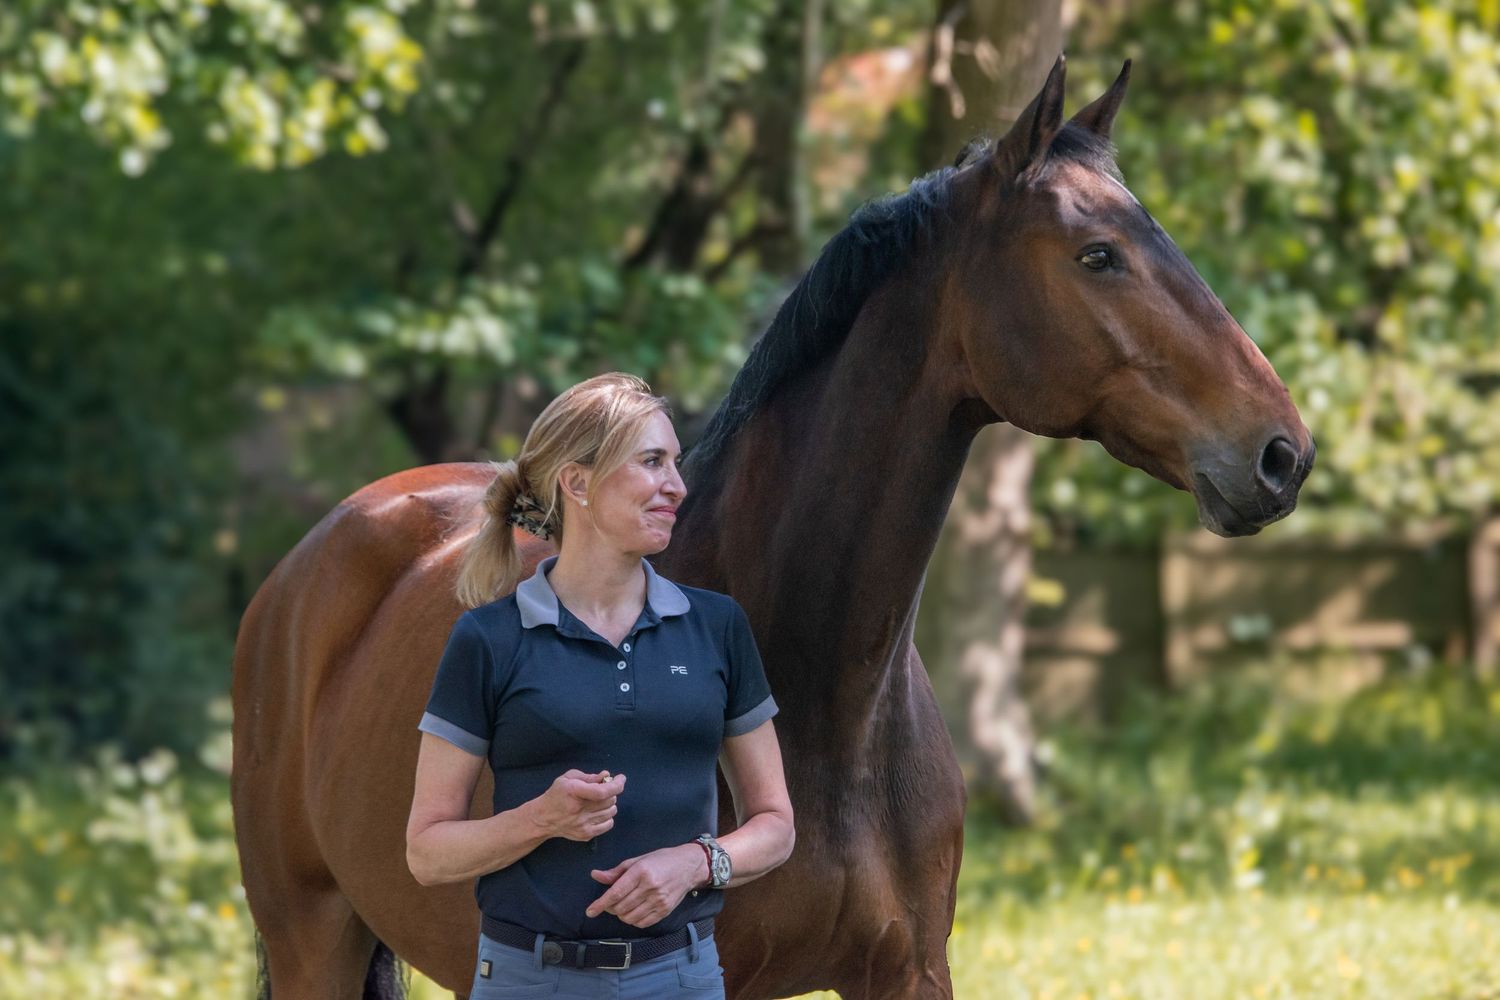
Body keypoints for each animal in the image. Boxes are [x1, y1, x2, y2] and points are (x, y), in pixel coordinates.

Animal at [231, 57, 1315, 1000]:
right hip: (313, 939)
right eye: (1098, 254)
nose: (1282, 452)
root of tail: (305, 570)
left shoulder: (909, 971)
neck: (831, 707)